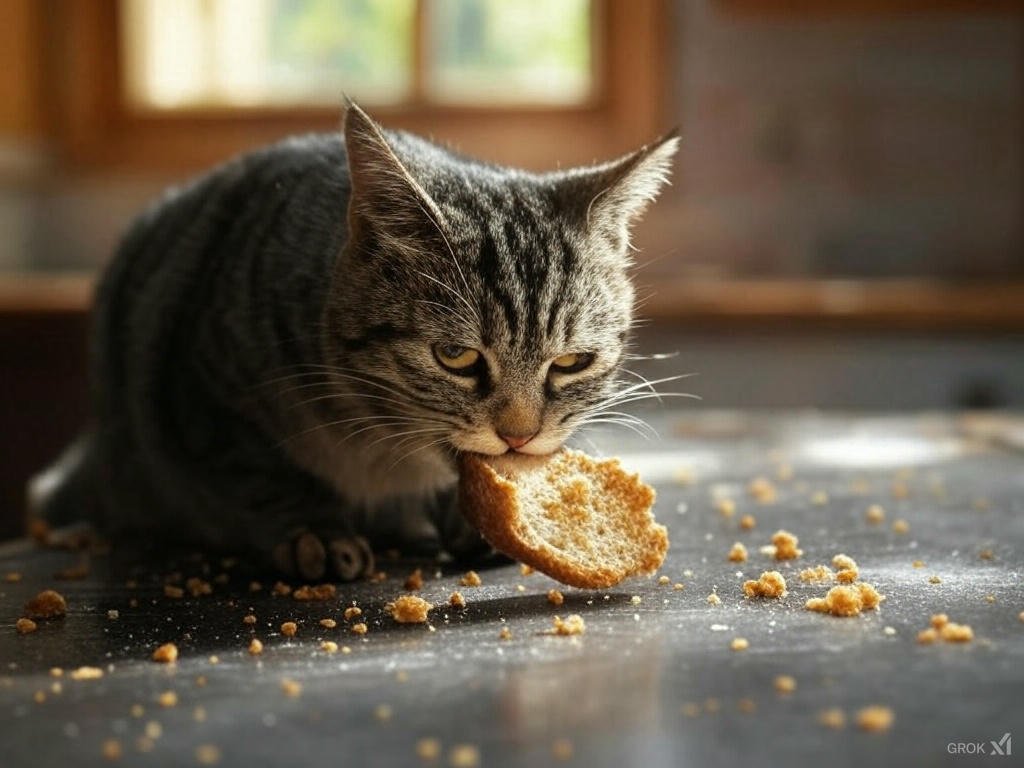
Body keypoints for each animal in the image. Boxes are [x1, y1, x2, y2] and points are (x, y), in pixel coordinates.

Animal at [32, 103, 675, 581]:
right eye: (457, 356)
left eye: (571, 361)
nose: (517, 437)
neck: (383, 454)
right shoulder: (204, 398)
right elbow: (258, 475)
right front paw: (313, 529)